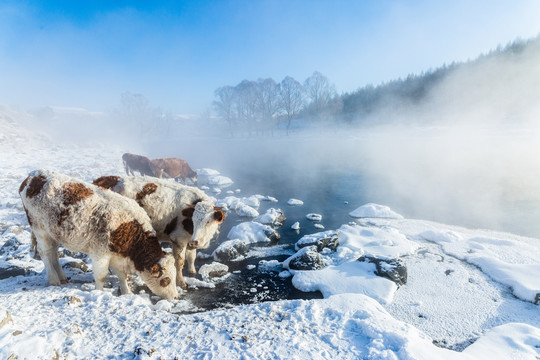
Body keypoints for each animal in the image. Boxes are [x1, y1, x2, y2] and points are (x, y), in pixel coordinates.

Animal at [20, 169, 178, 300]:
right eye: (166, 280)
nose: (176, 297)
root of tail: (33, 176)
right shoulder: (100, 253)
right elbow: (101, 276)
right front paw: (99, 293)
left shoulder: (118, 255)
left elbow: (122, 276)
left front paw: (127, 292)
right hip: (40, 229)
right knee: (45, 253)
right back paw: (54, 280)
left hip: (53, 233)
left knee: (54, 252)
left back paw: (62, 277)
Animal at [93, 174, 224, 290]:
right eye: (193, 220)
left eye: (208, 221)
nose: (195, 242)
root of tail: (103, 180)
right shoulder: (178, 239)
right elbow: (180, 262)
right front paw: (181, 282)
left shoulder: (190, 240)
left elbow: (192, 258)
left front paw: (193, 272)